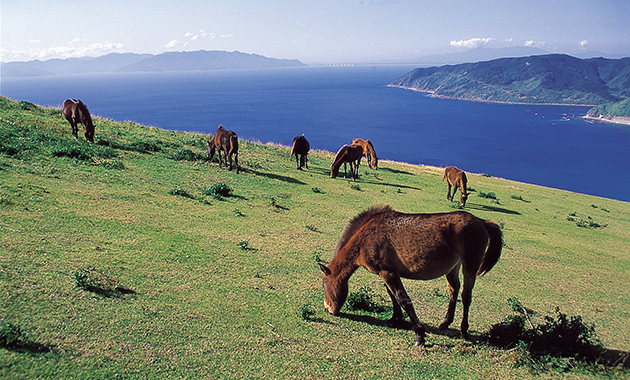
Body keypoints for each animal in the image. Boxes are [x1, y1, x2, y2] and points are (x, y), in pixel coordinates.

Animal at [320, 205, 504, 348]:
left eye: (324, 285)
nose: (327, 308)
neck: (367, 237)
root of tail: (481, 221)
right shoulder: (387, 272)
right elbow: (393, 296)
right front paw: (394, 320)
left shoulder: (387, 272)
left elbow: (403, 300)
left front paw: (419, 335)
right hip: (453, 268)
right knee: (454, 290)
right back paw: (445, 323)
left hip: (470, 268)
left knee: (466, 296)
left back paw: (464, 331)